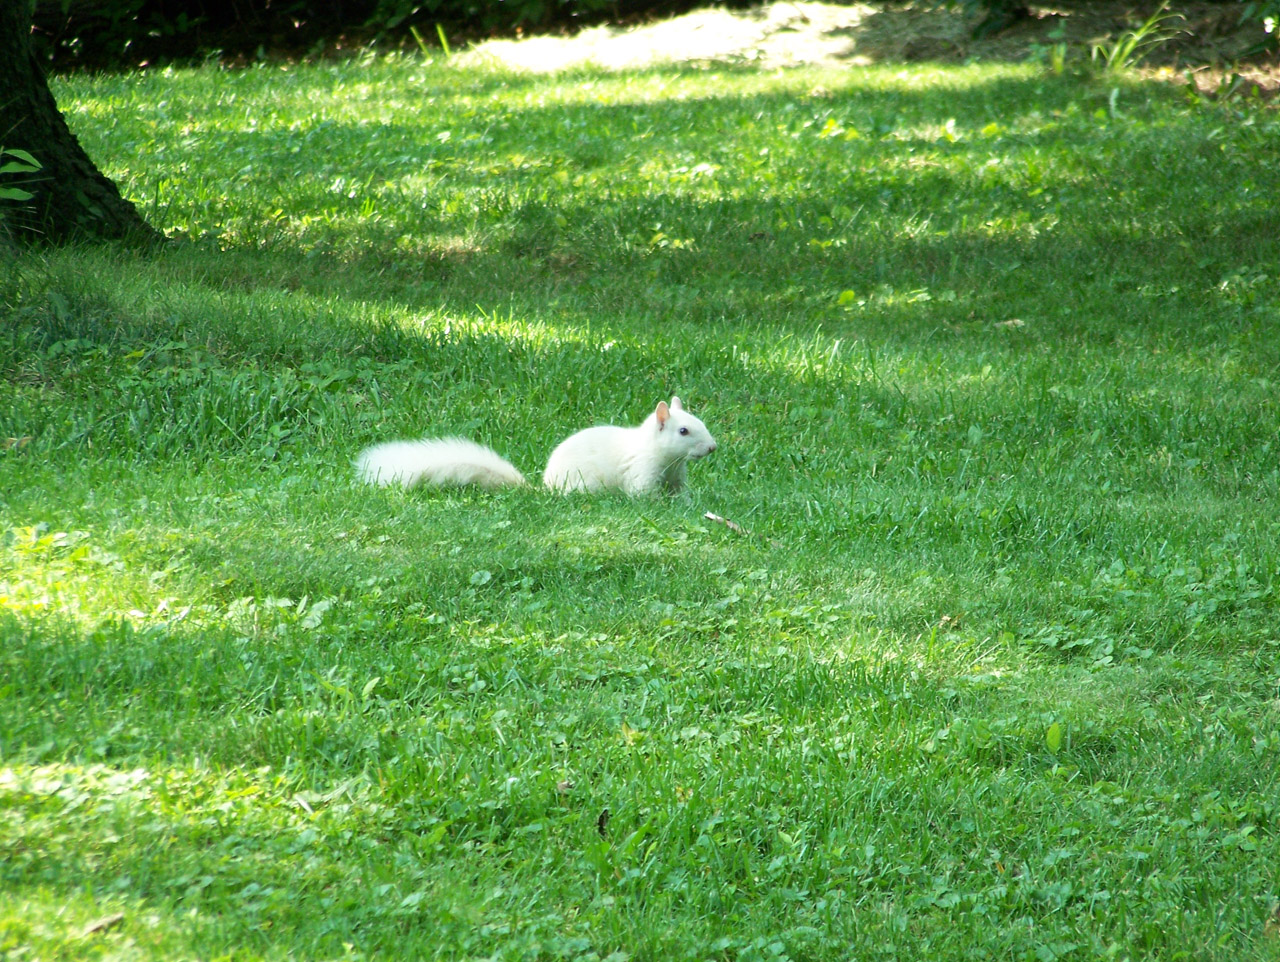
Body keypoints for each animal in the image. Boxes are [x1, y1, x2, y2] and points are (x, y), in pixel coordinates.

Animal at [358, 394, 721, 496]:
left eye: (699, 422)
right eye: (684, 431)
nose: (713, 447)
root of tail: (546, 488)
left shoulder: (676, 476)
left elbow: (681, 494)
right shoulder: (641, 472)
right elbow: (643, 495)